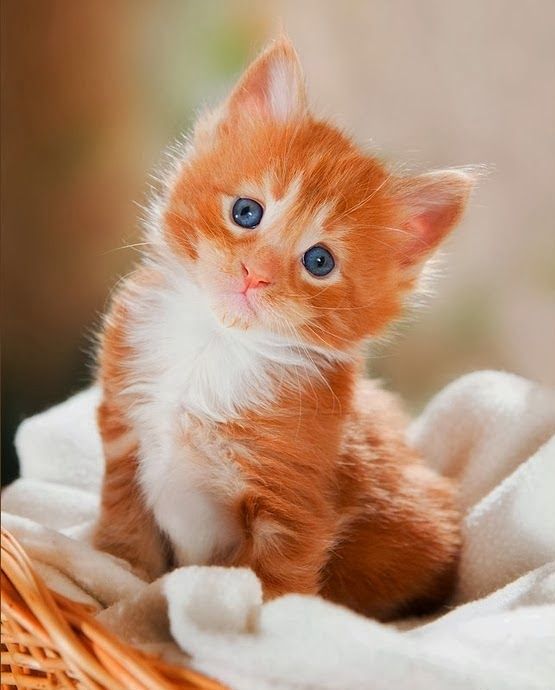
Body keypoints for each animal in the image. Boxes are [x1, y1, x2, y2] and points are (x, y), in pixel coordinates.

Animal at [92, 37, 474, 620]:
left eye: (319, 261)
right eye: (247, 212)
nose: (256, 274)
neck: (215, 348)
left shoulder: (295, 504)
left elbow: (275, 580)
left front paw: (254, 624)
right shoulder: (122, 429)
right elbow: (123, 516)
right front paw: (116, 573)